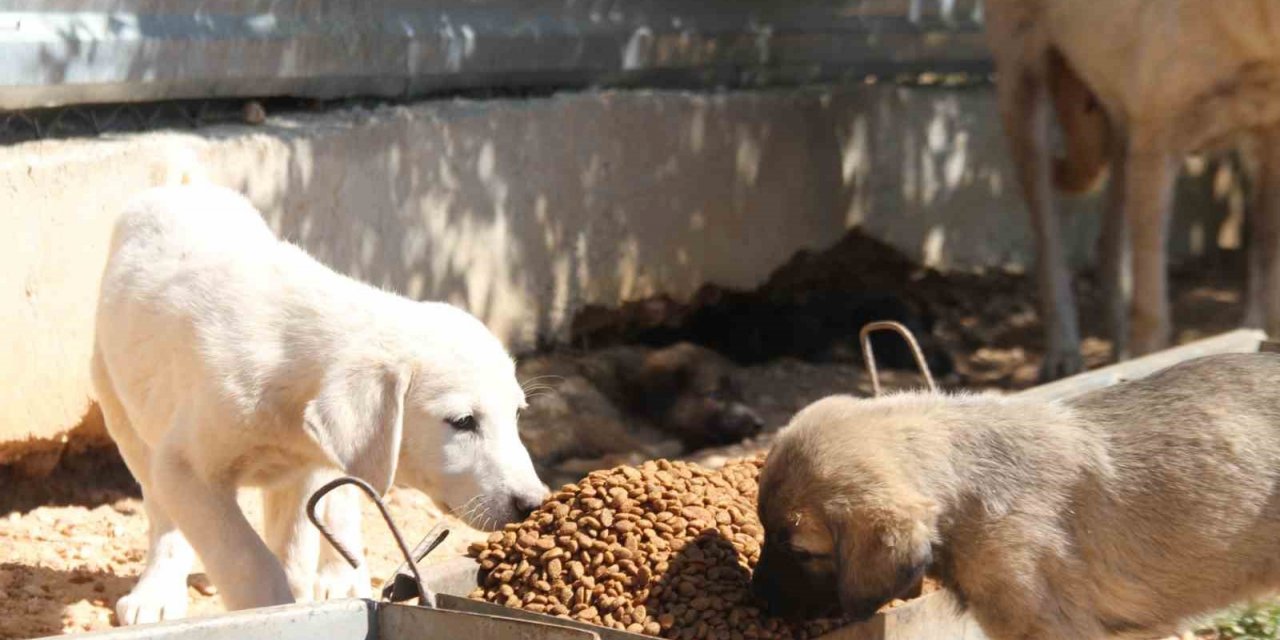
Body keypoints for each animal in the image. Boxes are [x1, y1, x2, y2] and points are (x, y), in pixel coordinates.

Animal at [90, 184, 550, 624]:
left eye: (516, 415)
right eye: (462, 421)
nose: (532, 504)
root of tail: (178, 187)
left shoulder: (303, 467)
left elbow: (294, 548)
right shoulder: (187, 467)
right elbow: (247, 558)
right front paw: (273, 608)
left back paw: (342, 577)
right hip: (121, 408)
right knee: (160, 507)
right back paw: (156, 594)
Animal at [983, 0, 1280, 378]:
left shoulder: (1270, 147)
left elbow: (1269, 286)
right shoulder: (1156, 144)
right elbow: (1152, 310)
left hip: (1122, 135)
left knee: (1108, 247)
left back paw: (1120, 352)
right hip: (1022, 95)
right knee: (1049, 252)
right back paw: (1065, 354)